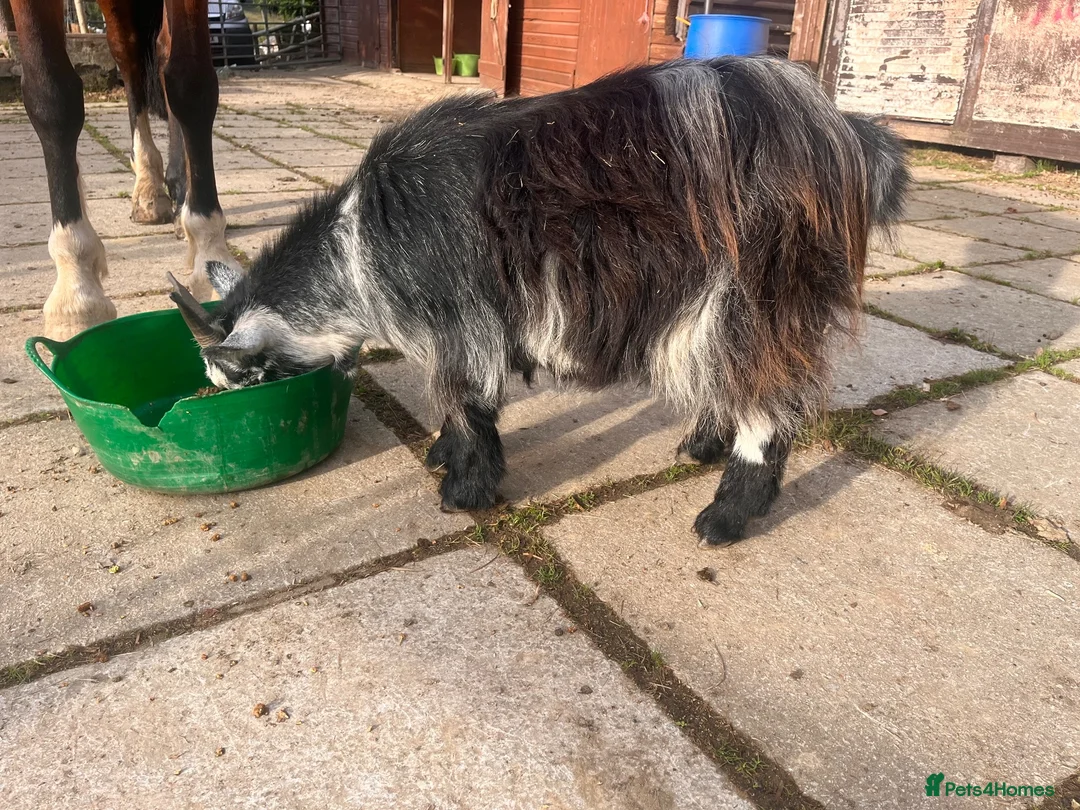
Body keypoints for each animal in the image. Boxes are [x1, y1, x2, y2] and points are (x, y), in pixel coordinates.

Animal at [169, 56, 910, 546]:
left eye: (242, 377)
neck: (357, 249)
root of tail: (843, 137)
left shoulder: (462, 322)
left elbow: (467, 402)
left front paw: (463, 490)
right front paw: (443, 457)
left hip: (754, 291)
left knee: (768, 398)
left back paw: (726, 515)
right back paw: (700, 444)